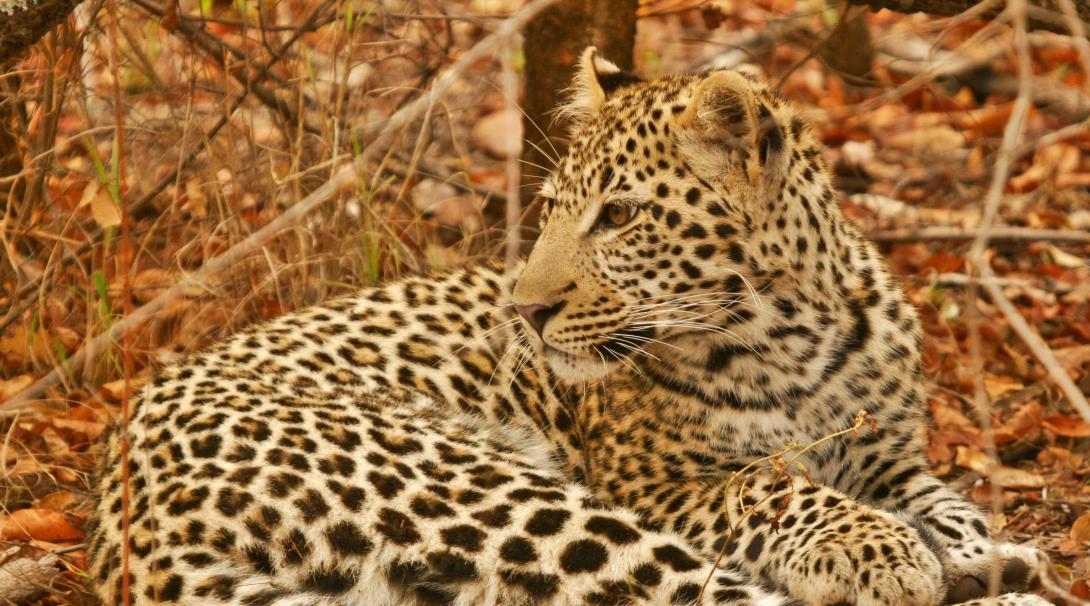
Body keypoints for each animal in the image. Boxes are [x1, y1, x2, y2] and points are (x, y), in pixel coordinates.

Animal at [87, 48, 1055, 606]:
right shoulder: (659, 482)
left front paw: (976, 548)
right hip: (491, 491)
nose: (525, 311)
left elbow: (946, 497)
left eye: (619, 216)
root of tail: (119, 518)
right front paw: (884, 549)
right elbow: (772, 485)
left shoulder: (888, 455)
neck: (798, 334)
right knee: (706, 593)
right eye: (553, 208)